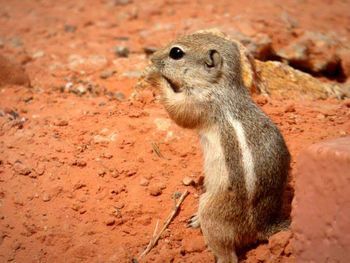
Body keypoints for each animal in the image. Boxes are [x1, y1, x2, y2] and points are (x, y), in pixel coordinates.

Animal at [146, 31, 290, 263]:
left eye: (176, 53)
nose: (152, 58)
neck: (219, 85)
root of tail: (262, 226)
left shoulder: (199, 103)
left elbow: (178, 112)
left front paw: (154, 76)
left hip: (213, 211)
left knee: (228, 254)